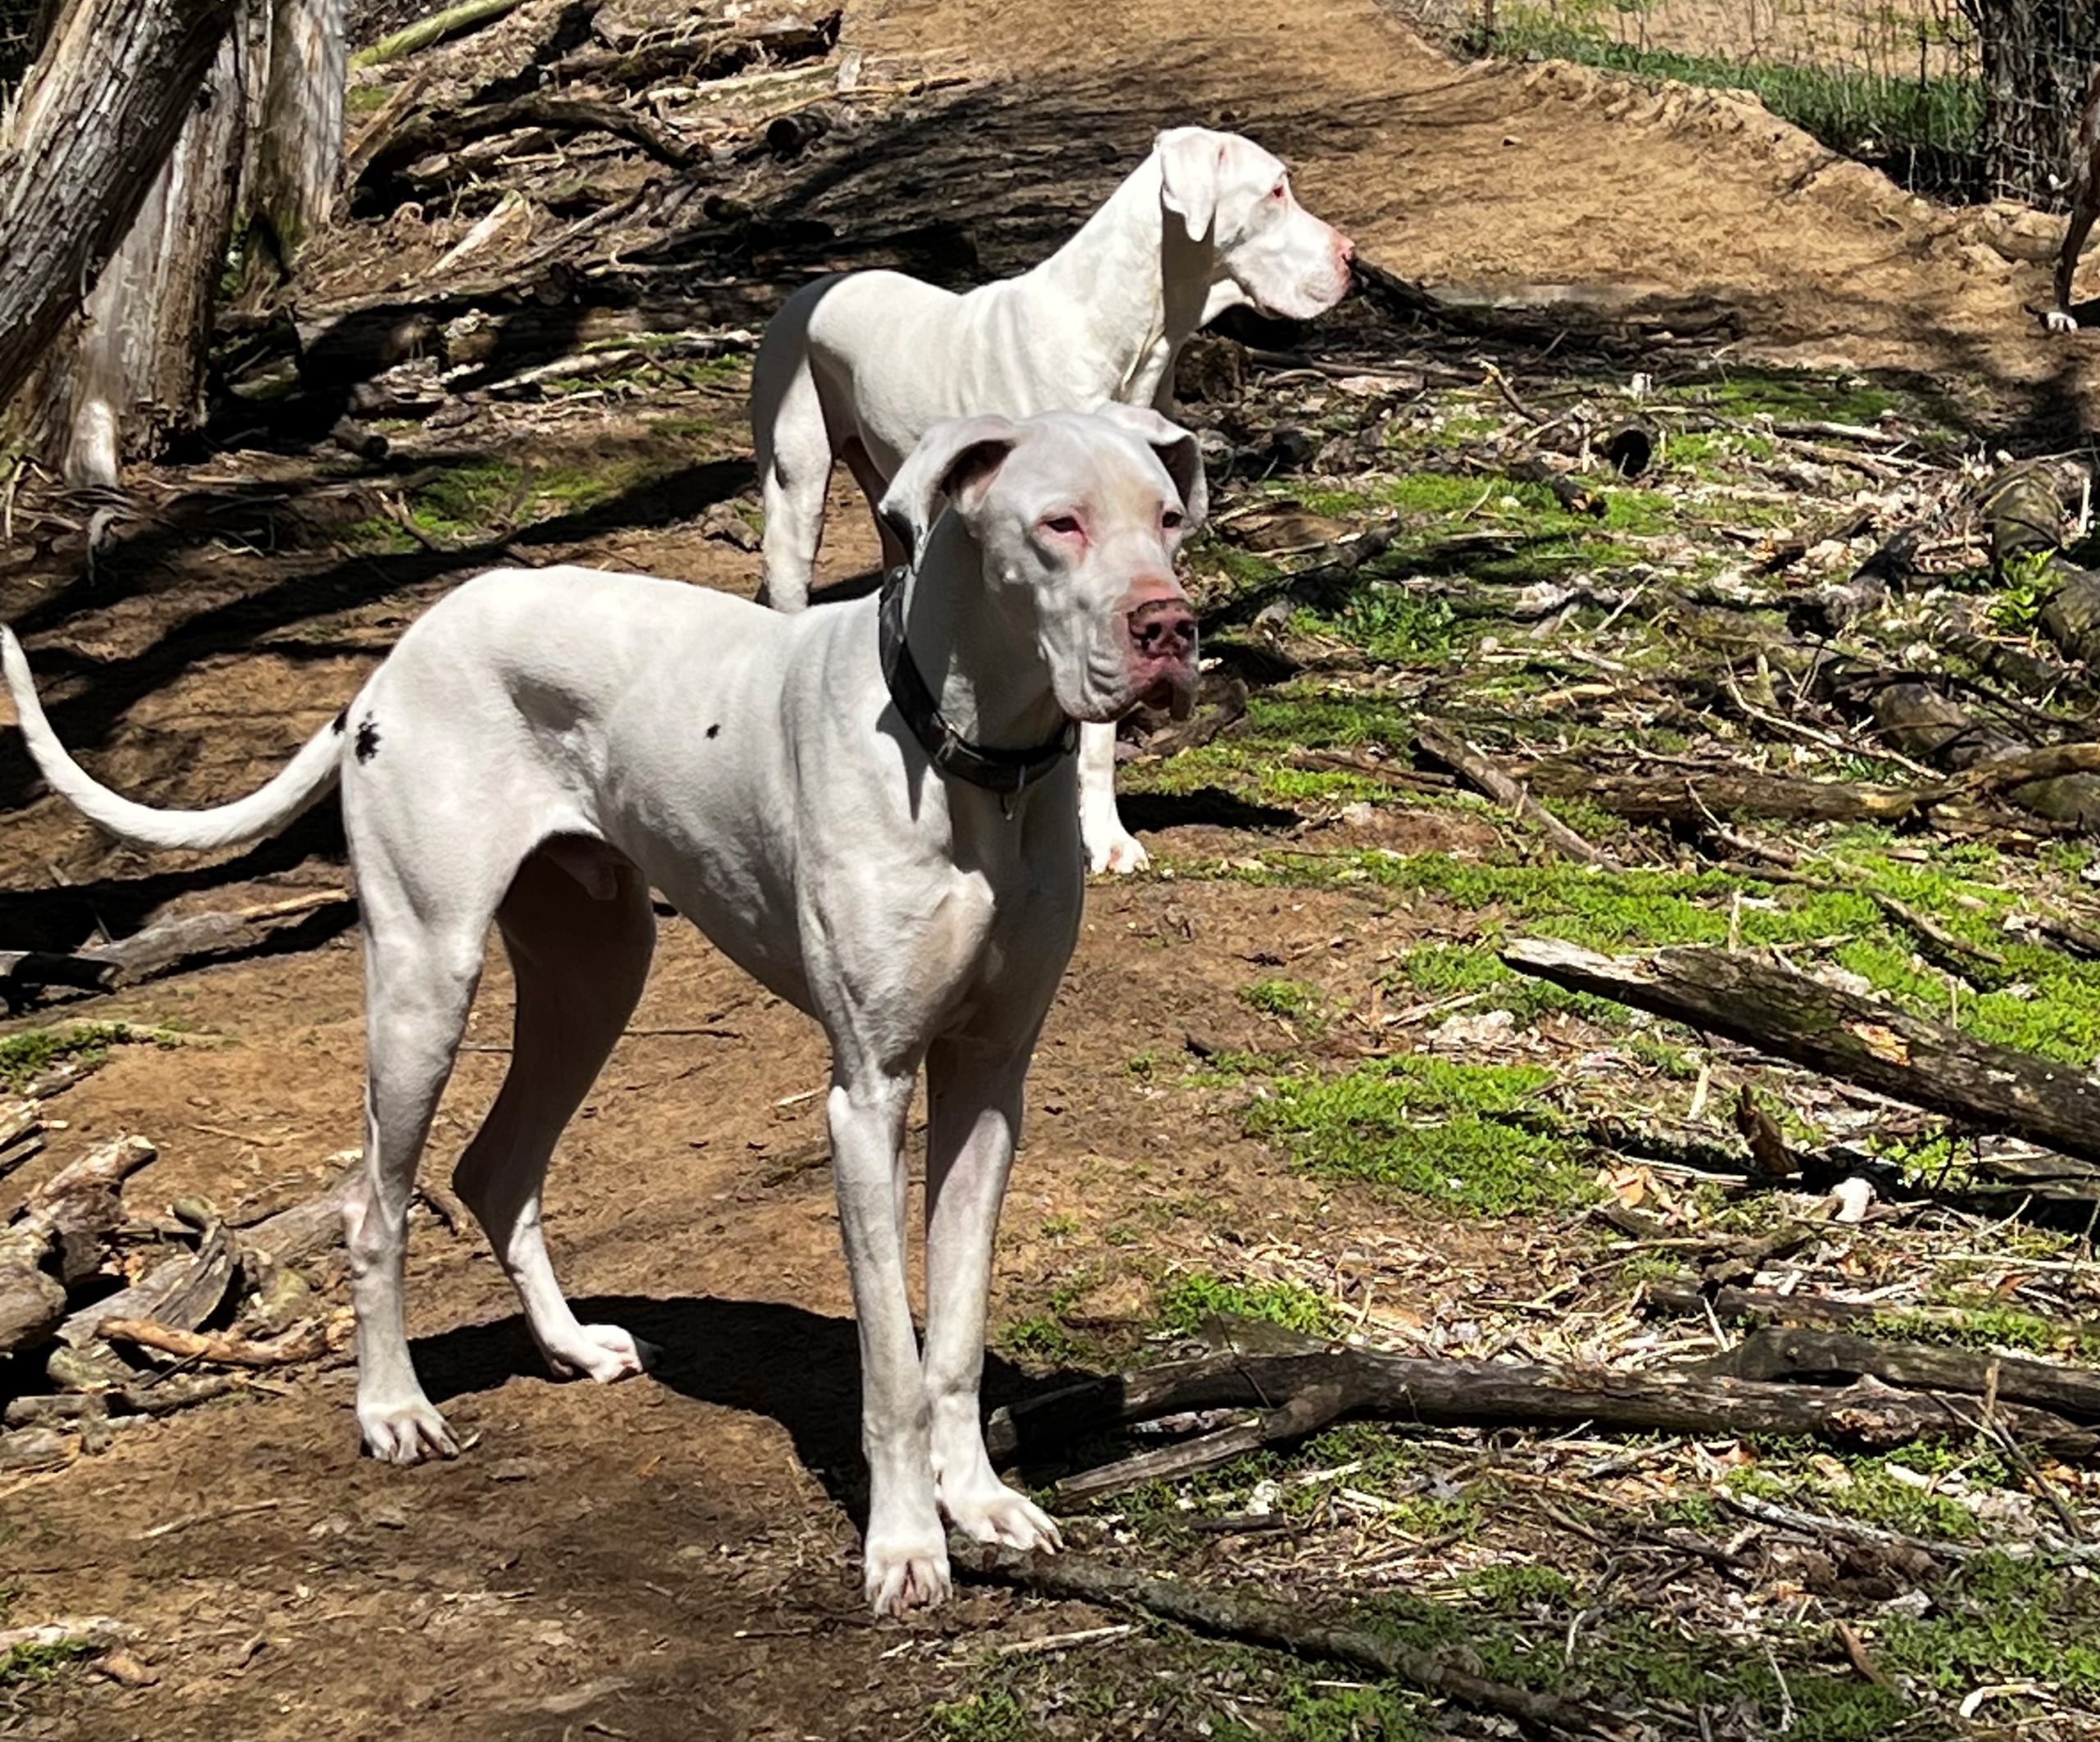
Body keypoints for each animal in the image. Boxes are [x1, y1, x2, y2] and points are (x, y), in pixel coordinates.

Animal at [0, 405, 1205, 1615]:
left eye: (1167, 518)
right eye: (1059, 523)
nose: (1171, 624)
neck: (972, 757)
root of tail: (407, 645)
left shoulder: (988, 1080)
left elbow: (950, 1337)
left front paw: (982, 1500)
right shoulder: (867, 1097)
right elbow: (892, 1365)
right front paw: (905, 1540)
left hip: (595, 975)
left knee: (493, 1169)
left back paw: (570, 1345)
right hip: (425, 979)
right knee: (374, 1204)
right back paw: (393, 1408)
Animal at [750, 126, 1352, 873]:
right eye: (1275, 190)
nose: (1352, 259)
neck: (1125, 333)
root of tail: (811, 288)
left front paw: (1105, 832)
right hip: (795, 490)